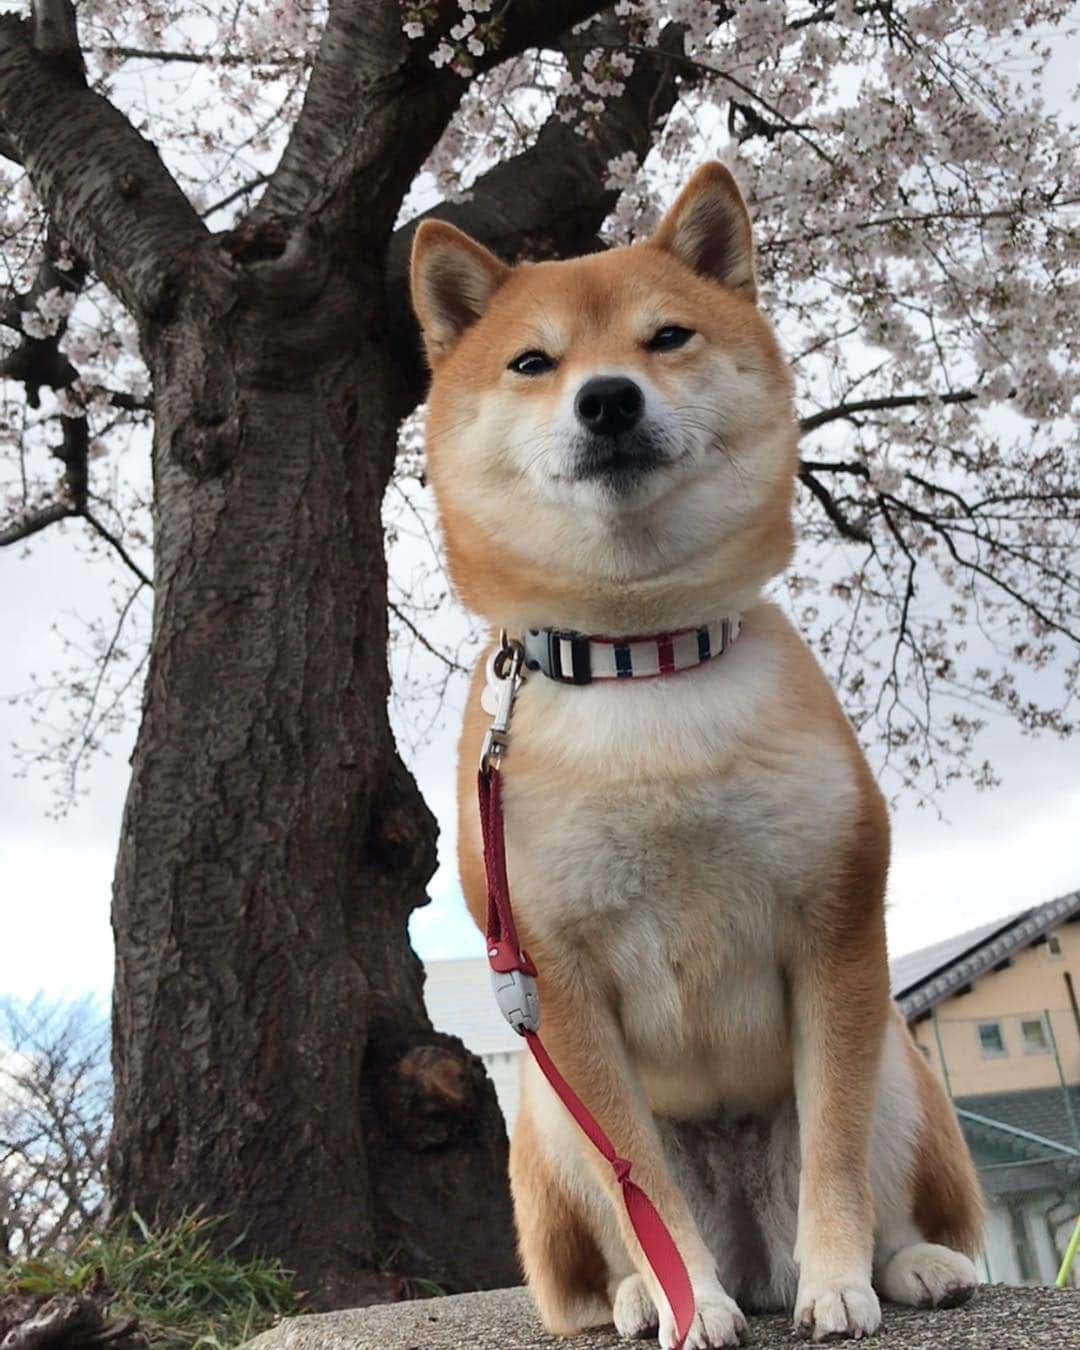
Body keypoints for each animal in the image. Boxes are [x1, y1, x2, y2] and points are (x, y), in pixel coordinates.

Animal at [410, 163, 982, 1344]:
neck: (645, 665)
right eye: (533, 362)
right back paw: (648, 1296)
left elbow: (834, 1145)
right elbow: (643, 1188)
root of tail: (752, 1245)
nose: (608, 398)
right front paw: (690, 1306)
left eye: (666, 337)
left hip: (901, 1058)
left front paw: (840, 1282)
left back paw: (911, 1266)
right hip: (542, 1109)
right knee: (610, 1246)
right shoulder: (558, 980)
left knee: (883, 1184)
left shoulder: (835, 930)